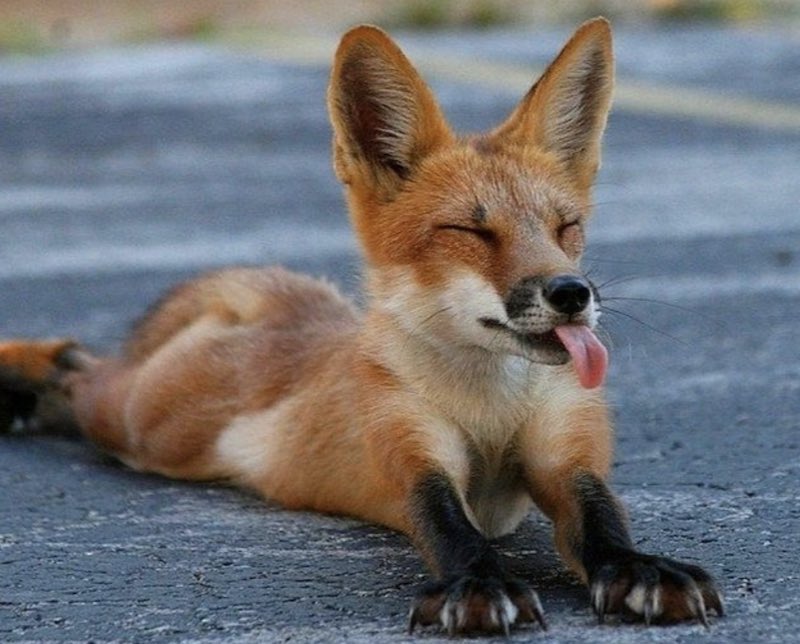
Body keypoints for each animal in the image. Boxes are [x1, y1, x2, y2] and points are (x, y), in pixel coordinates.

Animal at [0, 18, 723, 635]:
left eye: (565, 227)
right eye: (470, 232)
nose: (572, 293)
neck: (489, 409)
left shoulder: (564, 452)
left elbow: (603, 519)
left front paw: (639, 569)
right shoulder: (411, 452)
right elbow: (447, 522)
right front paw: (478, 583)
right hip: (143, 427)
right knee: (81, 367)